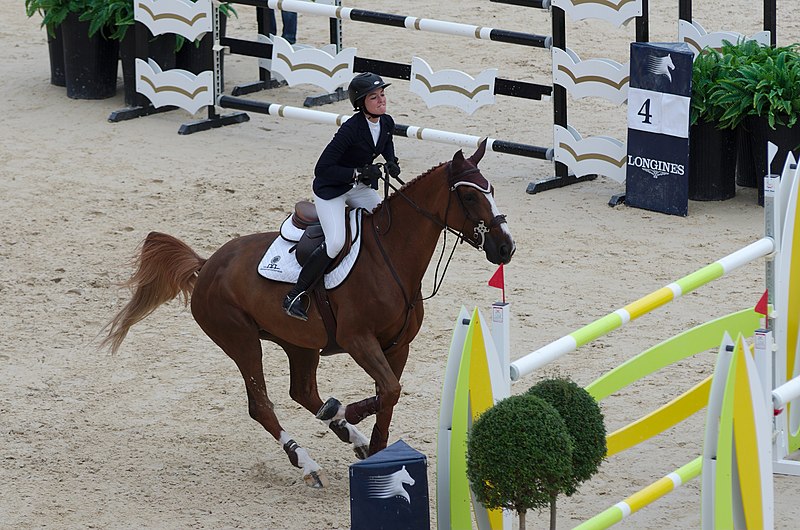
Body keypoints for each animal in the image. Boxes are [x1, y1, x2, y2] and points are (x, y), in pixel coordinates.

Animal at [101, 138, 512, 484]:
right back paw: (309, 460)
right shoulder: (359, 340)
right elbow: (389, 391)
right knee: (262, 405)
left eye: (492, 191)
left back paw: (344, 428)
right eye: (470, 197)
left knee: (303, 392)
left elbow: (389, 396)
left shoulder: (398, 346)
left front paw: (374, 446)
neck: (392, 257)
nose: (505, 248)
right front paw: (353, 415)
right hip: (241, 340)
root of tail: (207, 264)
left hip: (298, 344)